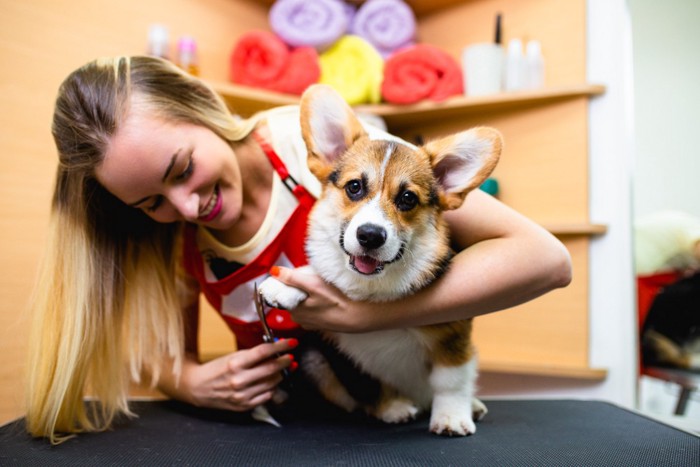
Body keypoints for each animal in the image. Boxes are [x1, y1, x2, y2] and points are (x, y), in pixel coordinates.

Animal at [260, 83, 500, 436]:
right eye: (355, 187)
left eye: (407, 198)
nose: (370, 236)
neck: (376, 288)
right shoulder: (338, 352)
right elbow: (366, 383)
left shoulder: (454, 334)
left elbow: (451, 381)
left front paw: (452, 416)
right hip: (312, 360)